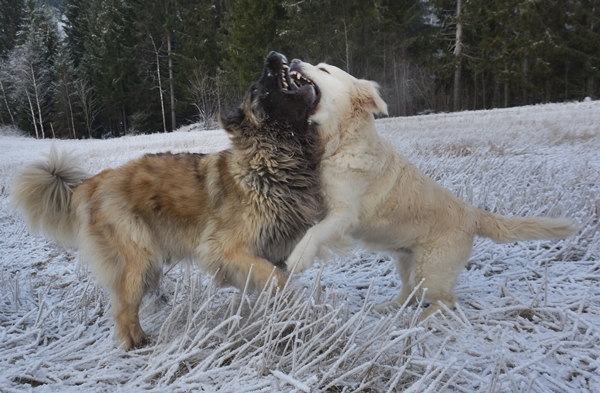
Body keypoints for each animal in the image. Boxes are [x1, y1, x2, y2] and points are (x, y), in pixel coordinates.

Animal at [11, 51, 324, 346]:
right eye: (257, 87)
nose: (272, 55)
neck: (271, 161)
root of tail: (93, 182)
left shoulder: (273, 251)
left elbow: (272, 279)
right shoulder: (224, 251)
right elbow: (278, 280)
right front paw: (300, 307)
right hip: (139, 260)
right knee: (123, 310)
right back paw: (138, 344)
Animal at [286, 59, 576, 320]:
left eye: (323, 69)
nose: (295, 60)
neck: (341, 141)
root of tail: (473, 213)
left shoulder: (345, 213)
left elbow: (314, 232)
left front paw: (298, 257)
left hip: (430, 270)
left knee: (446, 301)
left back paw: (420, 320)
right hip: (407, 261)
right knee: (409, 293)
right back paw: (389, 308)